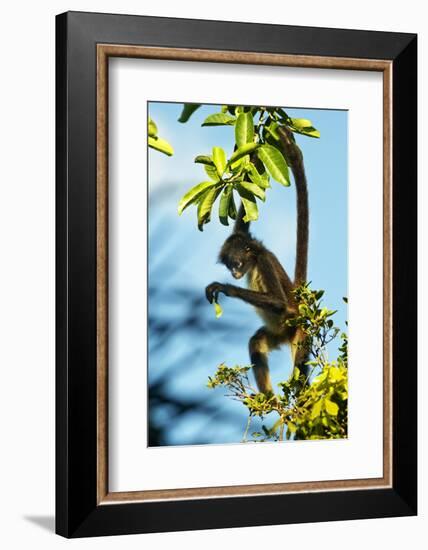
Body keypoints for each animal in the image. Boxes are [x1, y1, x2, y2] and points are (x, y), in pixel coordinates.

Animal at [206, 128, 310, 396]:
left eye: (236, 265)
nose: (234, 275)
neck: (254, 260)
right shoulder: (241, 235)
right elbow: (244, 216)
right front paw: (252, 146)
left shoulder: (263, 261)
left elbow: (277, 302)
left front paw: (225, 288)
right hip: (276, 334)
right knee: (256, 343)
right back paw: (269, 400)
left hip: (298, 332)